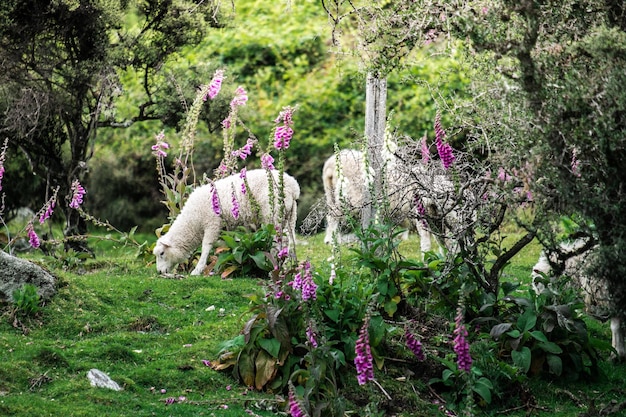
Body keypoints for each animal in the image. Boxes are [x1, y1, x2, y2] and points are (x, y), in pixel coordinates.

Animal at [151, 167, 298, 274]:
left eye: (162, 253)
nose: (159, 272)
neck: (193, 221)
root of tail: (293, 186)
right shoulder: (226, 228)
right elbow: (224, 245)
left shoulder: (212, 224)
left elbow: (206, 247)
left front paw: (198, 270)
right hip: (290, 215)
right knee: (290, 241)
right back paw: (287, 265)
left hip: (273, 213)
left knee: (278, 240)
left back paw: (275, 265)